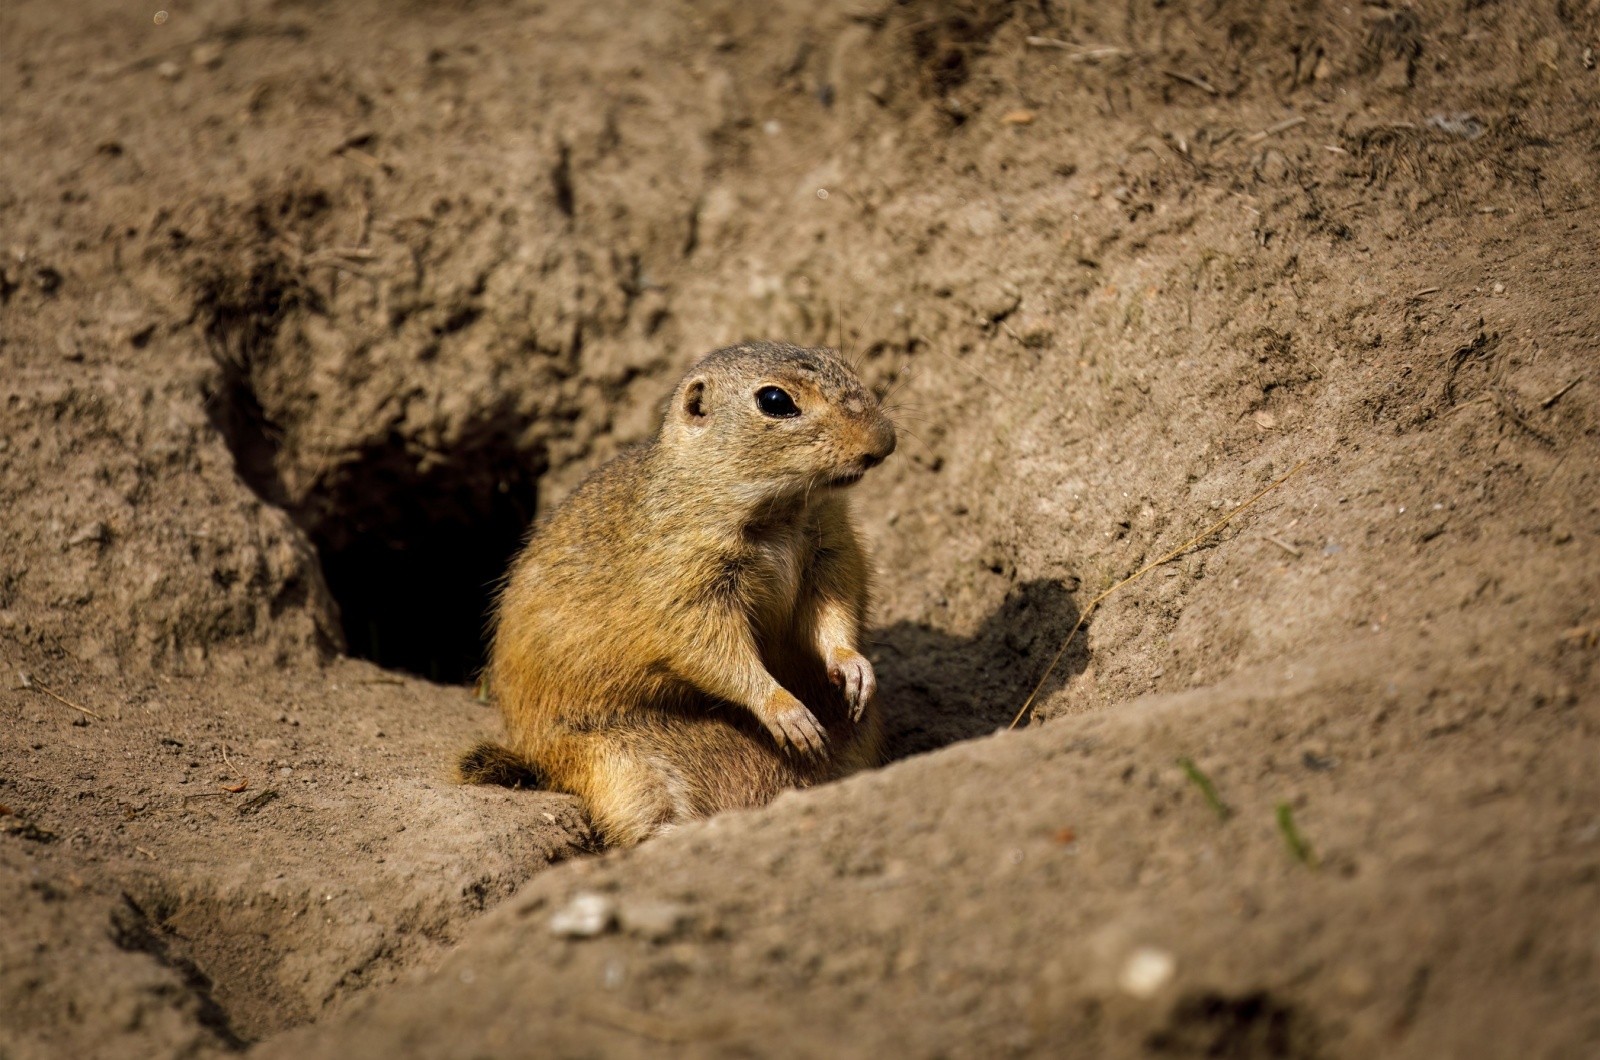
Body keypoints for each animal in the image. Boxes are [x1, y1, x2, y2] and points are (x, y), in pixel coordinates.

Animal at [460, 344, 902, 851]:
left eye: (842, 361)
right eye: (775, 400)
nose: (885, 441)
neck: (780, 512)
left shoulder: (831, 555)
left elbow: (835, 615)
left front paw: (856, 669)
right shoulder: (689, 589)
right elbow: (718, 654)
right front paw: (788, 713)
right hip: (619, 768)